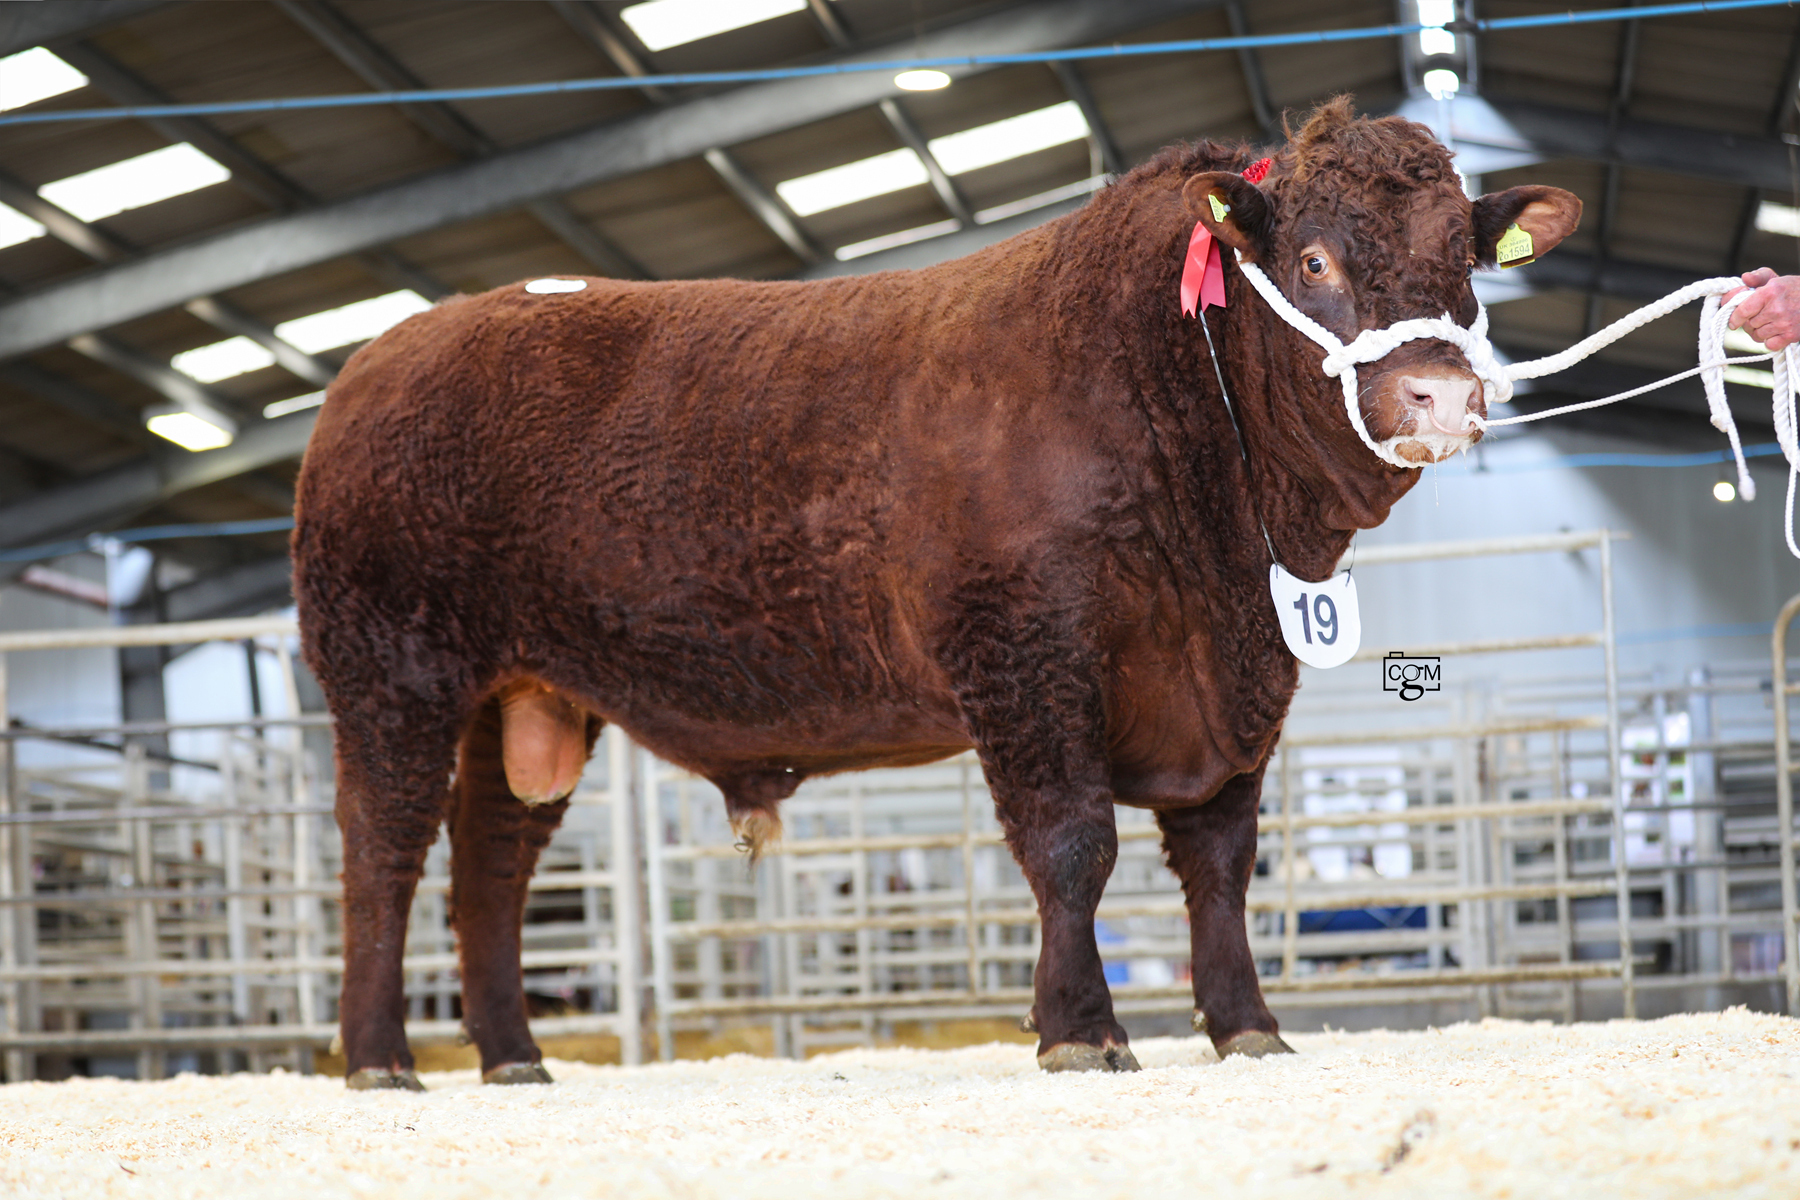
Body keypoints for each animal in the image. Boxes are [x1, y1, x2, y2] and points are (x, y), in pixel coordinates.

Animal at [293, 97, 1581, 1090]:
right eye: (1313, 260)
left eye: (1464, 264)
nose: (1440, 395)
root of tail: (385, 356)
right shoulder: (1022, 648)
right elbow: (1072, 845)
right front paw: (1082, 1032)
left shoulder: (1243, 678)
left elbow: (1220, 861)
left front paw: (1247, 1029)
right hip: (391, 667)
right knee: (383, 849)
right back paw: (380, 1059)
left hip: (531, 696)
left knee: (491, 865)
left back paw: (513, 1056)